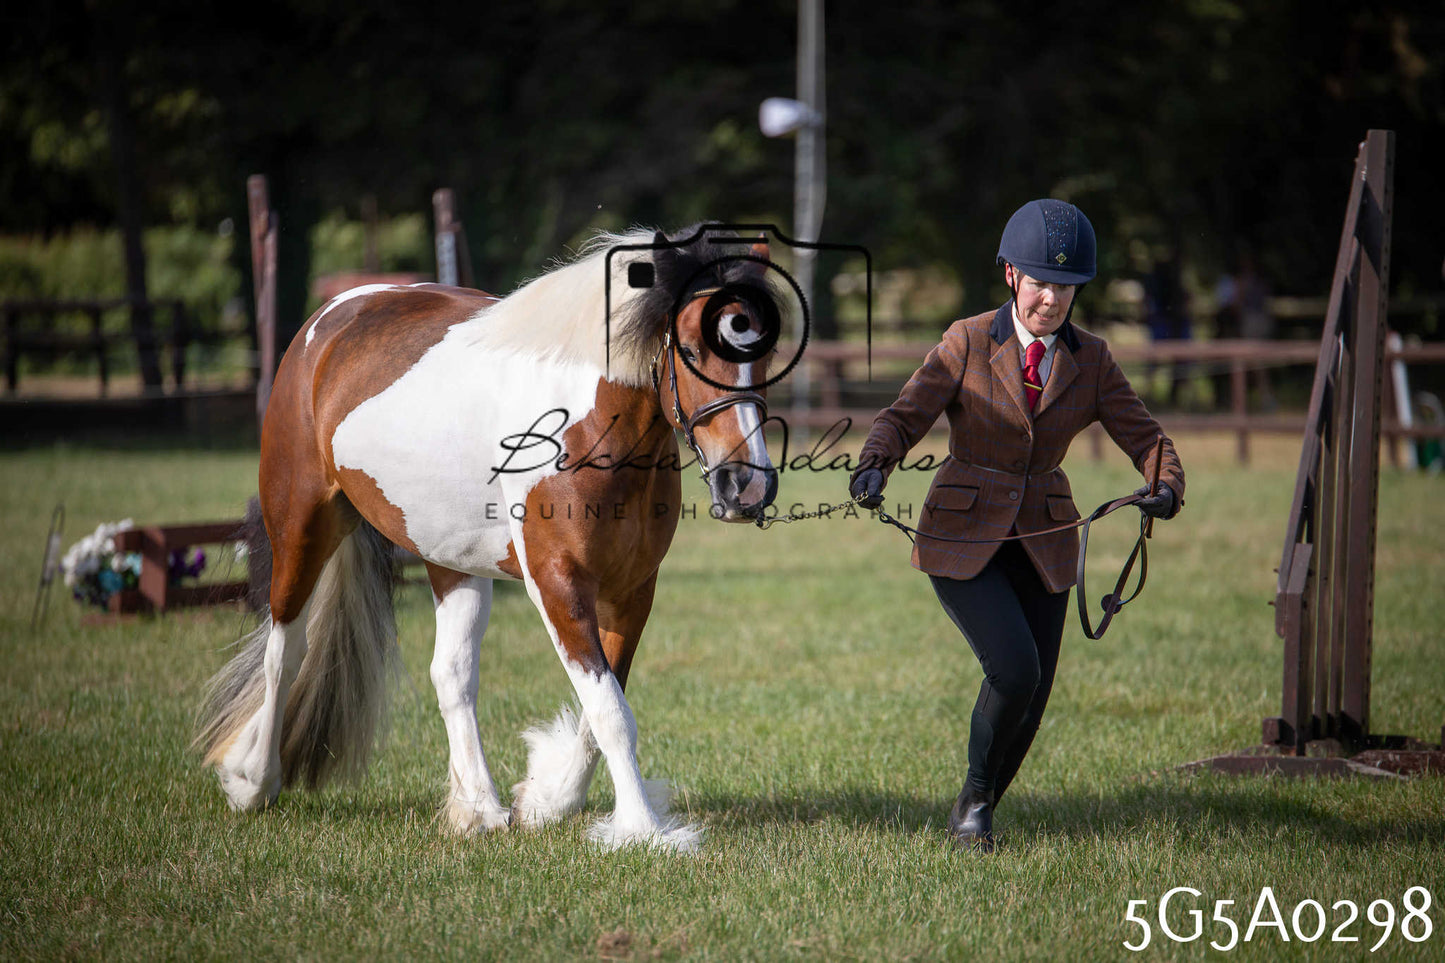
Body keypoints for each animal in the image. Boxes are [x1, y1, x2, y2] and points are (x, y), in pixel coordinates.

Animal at [195, 226, 783, 852]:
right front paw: (643, 831)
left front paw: (548, 800)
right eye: (691, 350)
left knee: (451, 675)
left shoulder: (632, 590)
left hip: (450, 561)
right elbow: (610, 713)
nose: (747, 485)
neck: (586, 425)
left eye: (766, 351)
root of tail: (330, 320)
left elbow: (603, 706)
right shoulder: (557, 582)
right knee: (286, 652)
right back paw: (253, 781)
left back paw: (479, 807)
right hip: (301, 528)